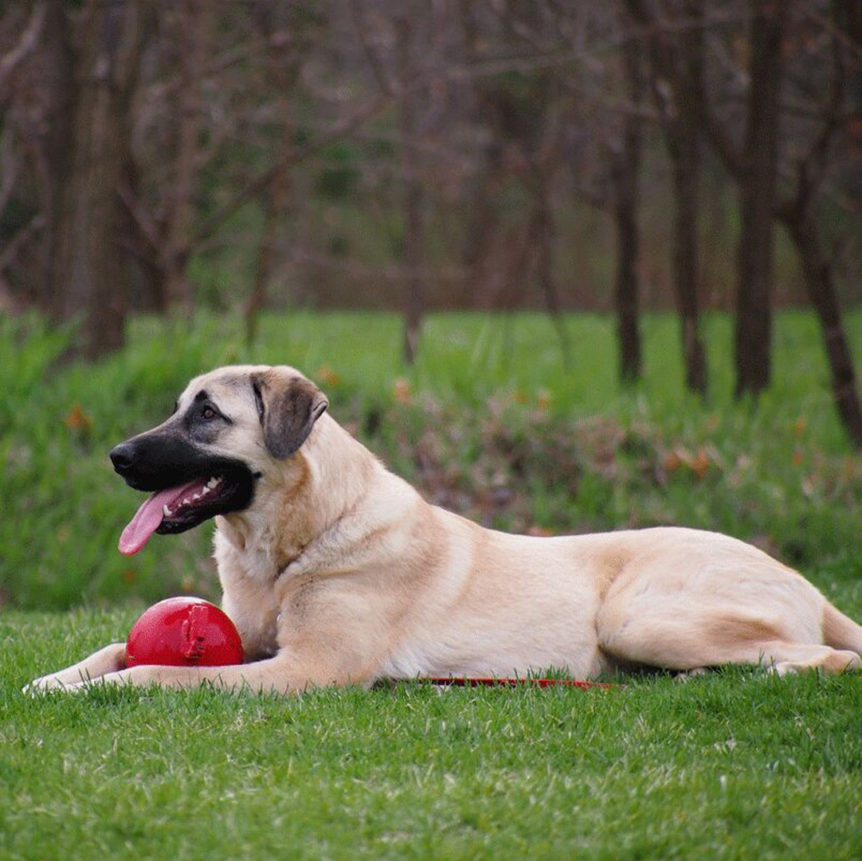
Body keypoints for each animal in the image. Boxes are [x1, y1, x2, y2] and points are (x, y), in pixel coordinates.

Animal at [27, 362, 862, 692]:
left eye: (206, 413)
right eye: (181, 406)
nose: (117, 456)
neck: (298, 541)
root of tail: (808, 585)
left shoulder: (308, 668)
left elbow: (161, 670)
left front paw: (107, 690)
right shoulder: (254, 642)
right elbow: (112, 648)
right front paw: (56, 680)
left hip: (639, 615)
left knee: (828, 656)